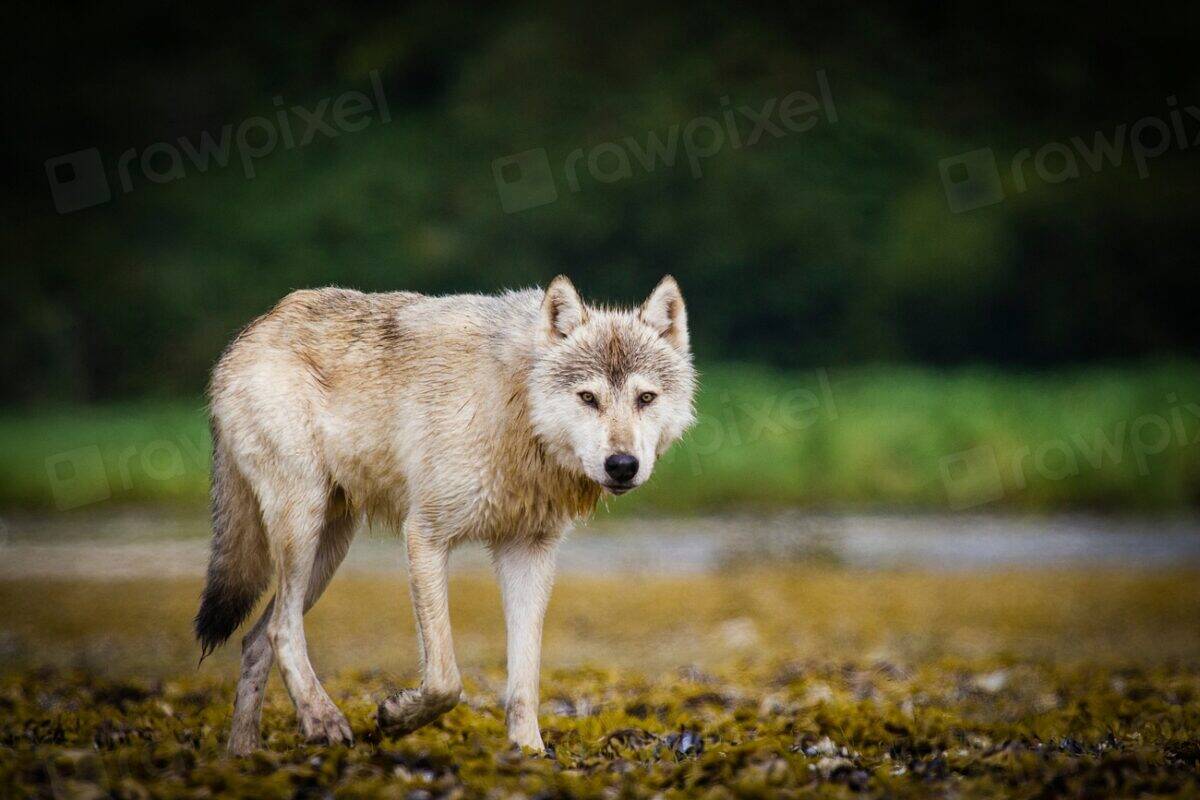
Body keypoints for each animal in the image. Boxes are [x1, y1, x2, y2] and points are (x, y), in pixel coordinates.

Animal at [194, 275, 696, 754]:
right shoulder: (425, 535)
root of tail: (252, 330)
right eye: (588, 397)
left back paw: (245, 755)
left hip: (329, 549)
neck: (515, 407)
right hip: (303, 528)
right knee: (281, 629)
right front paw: (396, 717)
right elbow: (445, 681)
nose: (622, 465)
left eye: (645, 398)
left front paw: (529, 750)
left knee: (256, 640)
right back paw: (323, 719)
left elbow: (524, 680)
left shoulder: (528, 551)